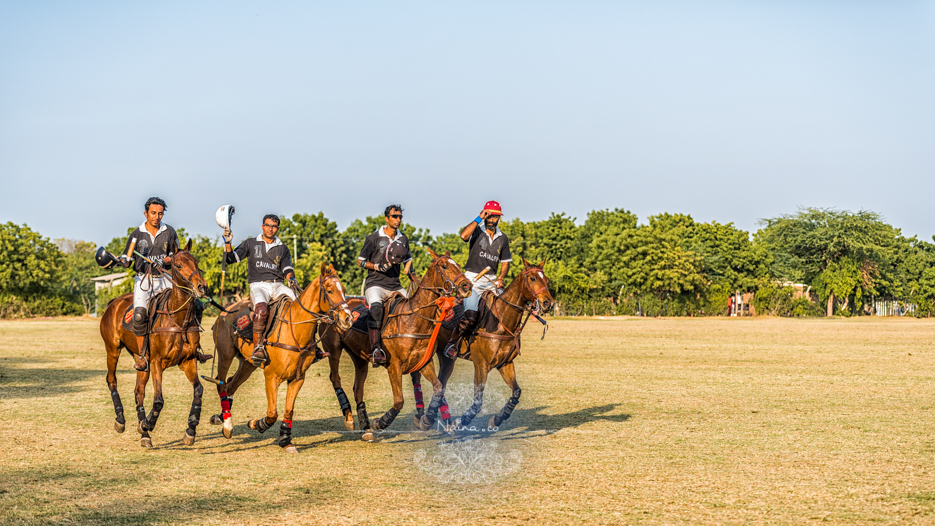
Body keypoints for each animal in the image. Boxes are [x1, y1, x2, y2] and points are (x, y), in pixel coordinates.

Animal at [98, 240, 208, 450]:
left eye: (197, 262)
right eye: (178, 265)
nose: (201, 287)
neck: (179, 320)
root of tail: (113, 302)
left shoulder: (188, 361)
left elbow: (198, 390)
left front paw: (190, 430)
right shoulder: (158, 361)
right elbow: (158, 400)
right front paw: (147, 423)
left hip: (142, 361)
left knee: (138, 392)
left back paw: (145, 436)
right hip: (112, 349)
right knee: (111, 380)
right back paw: (121, 420)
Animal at [209, 264, 354, 454]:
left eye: (343, 290)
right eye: (329, 291)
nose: (348, 319)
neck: (295, 332)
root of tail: (225, 310)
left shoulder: (297, 378)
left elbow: (288, 410)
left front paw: (286, 440)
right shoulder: (271, 376)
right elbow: (272, 414)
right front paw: (256, 424)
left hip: (248, 363)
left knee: (230, 384)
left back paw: (222, 418)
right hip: (225, 354)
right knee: (221, 383)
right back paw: (227, 425)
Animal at [320, 250, 476, 444]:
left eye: (459, 265)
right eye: (444, 266)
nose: (466, 286)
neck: (415, 320)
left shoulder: (424, 363)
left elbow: (439, 387)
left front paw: (427, 420)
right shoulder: (394, 366)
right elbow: (399, 400)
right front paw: (380, 422)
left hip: (359, 357)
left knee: (358, 389)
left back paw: (366, 428)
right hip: (333, 349)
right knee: (335, 378)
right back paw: (350, 419)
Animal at [412, 258, 556, 434]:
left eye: (547, 279)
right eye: (533, 278)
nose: (548, 303)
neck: (501, 321)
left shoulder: (505, 364)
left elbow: (516, 392)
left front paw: (497, 420)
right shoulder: (481, 364)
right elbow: (478, 401)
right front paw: (459, 423)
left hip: (446, 358)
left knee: (441, 382)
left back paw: (435, 418)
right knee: (418, 375)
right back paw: (423, 417)